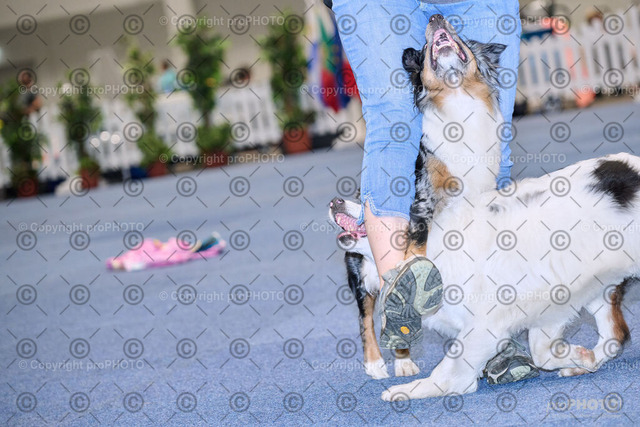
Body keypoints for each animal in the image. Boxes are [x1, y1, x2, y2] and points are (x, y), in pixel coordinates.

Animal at [329, 14, 638, 401]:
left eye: (461, 37)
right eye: (426, 47)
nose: (436, 17)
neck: (459, 103)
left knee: (616, 333)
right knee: (366, 316)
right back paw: (383, 363)